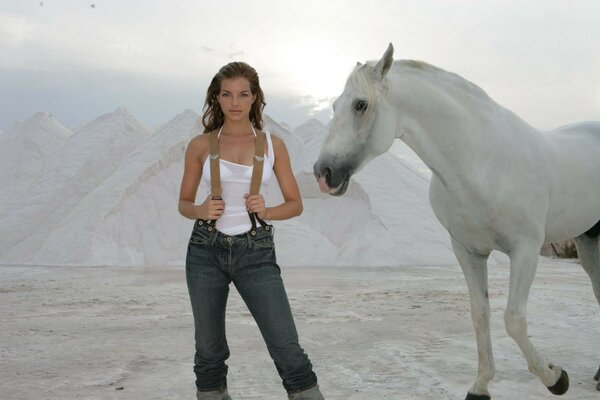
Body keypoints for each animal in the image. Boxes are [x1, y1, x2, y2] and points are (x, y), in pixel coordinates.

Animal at [314, 42, 600, 398]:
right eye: (335, 105)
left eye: (360, 104)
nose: (323, 173)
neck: (480, 161)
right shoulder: (468, 251)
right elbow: (480, 314)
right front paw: (480, 385)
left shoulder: (526, 250)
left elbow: (514, 319)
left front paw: (555, 378)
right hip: (588, 241)